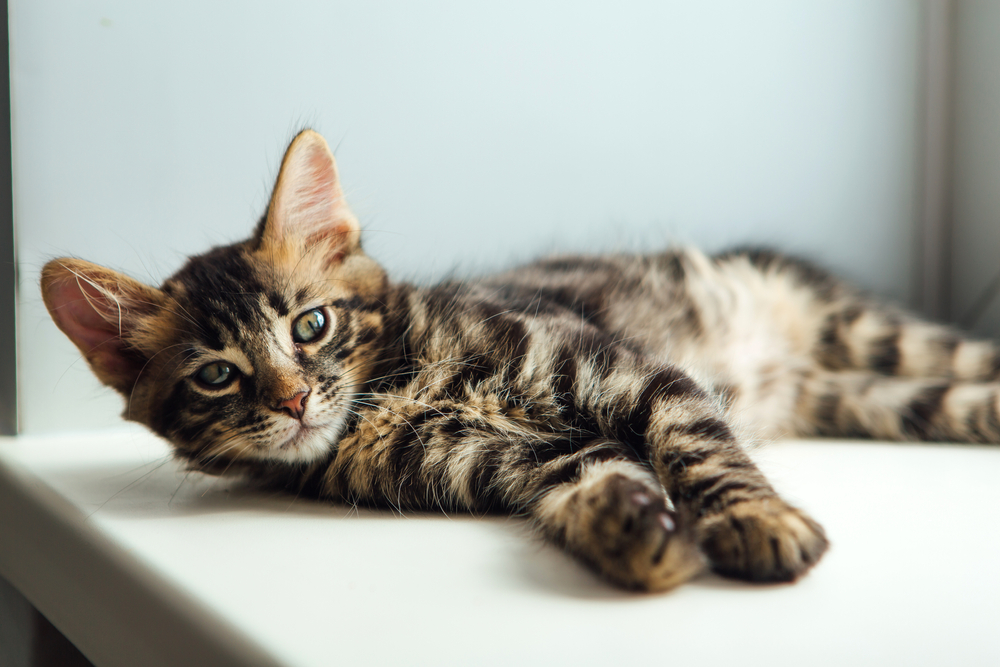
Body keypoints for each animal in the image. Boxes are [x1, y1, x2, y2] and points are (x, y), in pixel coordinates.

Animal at [39, 129, 1000, 588]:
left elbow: (701, 449)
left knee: (966, 356)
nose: (292, 402)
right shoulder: (514, 458)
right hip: (877, 397)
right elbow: (594, 482)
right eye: (216, 375)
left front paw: (756, 521)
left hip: (867, 328)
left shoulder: (632, 374)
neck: (400, 386)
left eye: (310, 325)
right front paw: (633, 536)